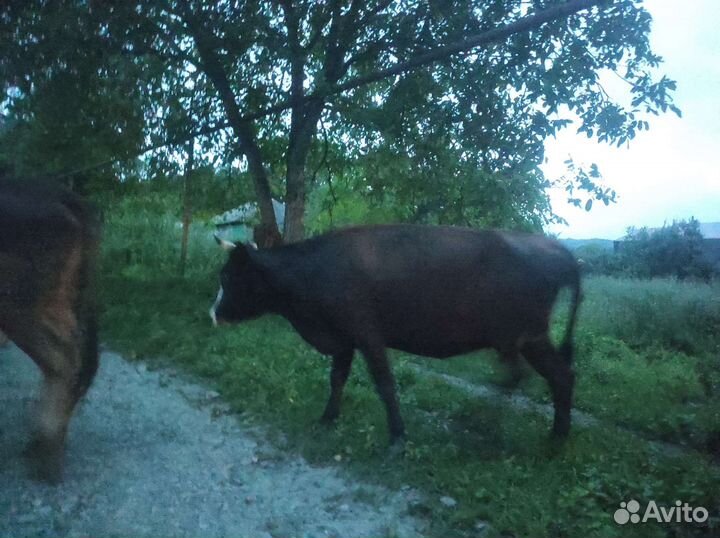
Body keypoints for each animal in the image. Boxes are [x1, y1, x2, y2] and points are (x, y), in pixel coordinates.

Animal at [210, 224, 581, 444]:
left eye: (227, 276)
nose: (212, 314)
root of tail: (557, 250)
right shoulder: (343, 338)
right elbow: (337, 378)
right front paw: (328, 418)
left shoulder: (367, 334)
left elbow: (385, 384)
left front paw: (398, 437)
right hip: (520, 339)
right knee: (534, 376)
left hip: (527, 335)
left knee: (555, 376)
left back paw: (552, 440)